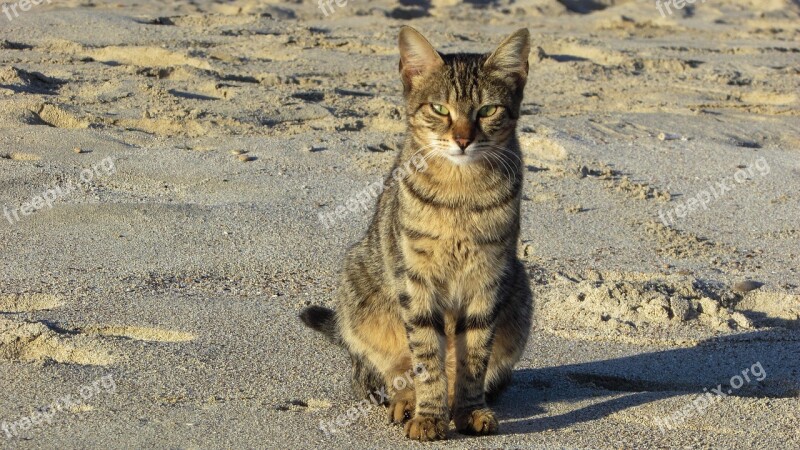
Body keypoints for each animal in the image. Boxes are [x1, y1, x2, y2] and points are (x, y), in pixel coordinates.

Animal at [300, 26, 532, 442]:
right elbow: (426, 358)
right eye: (439, 109)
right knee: (382, 373)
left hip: (519, 289)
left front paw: (469, 411)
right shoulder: (416, 279)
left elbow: (474, 358)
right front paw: (428, 416)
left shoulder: (488, 279)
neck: (461, 191)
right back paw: (405, 403)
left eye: (487, 110)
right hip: (359, 282)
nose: (462, 139)